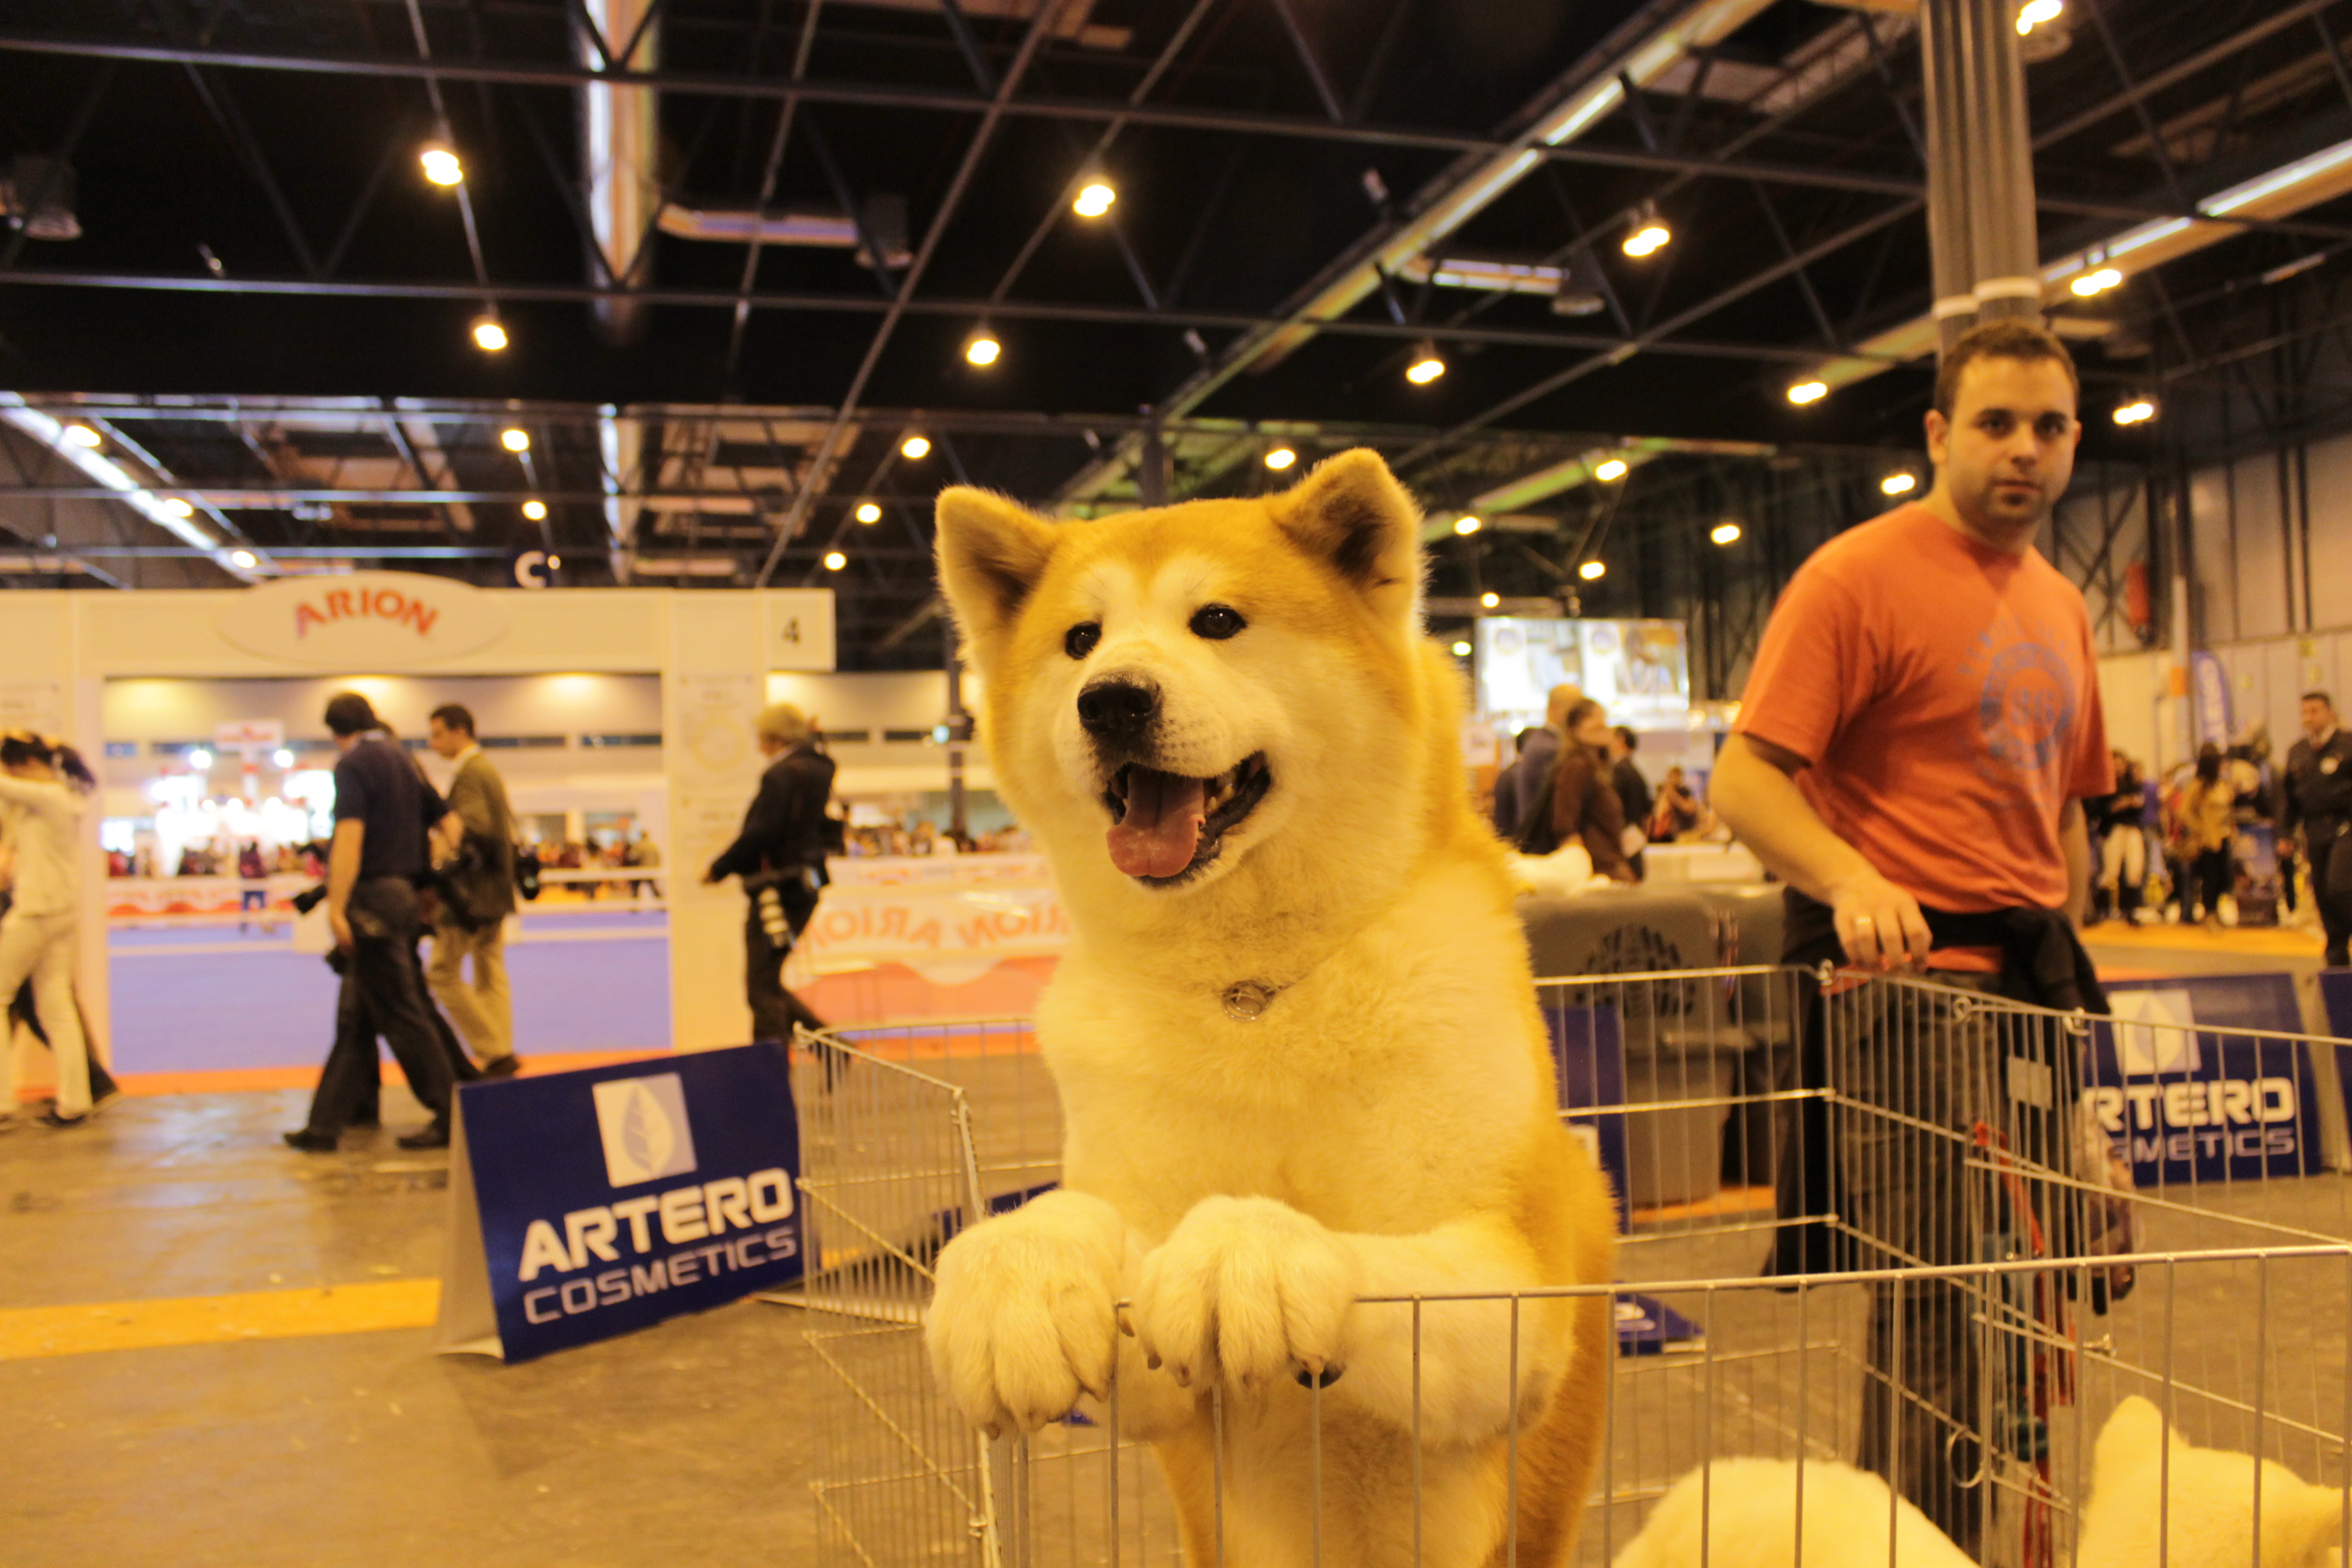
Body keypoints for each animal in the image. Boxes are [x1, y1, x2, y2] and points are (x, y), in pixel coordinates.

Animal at [923, 449, 1618, 1566]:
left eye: (1216, 620)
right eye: (1079, 641)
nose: (1111, 700)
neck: (1254, 995)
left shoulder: (1519, 1306)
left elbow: (1378, 1257)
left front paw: (1248, 1251)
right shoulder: (1162, 1398)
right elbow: (1075, 1219)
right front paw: (1014, 1275)